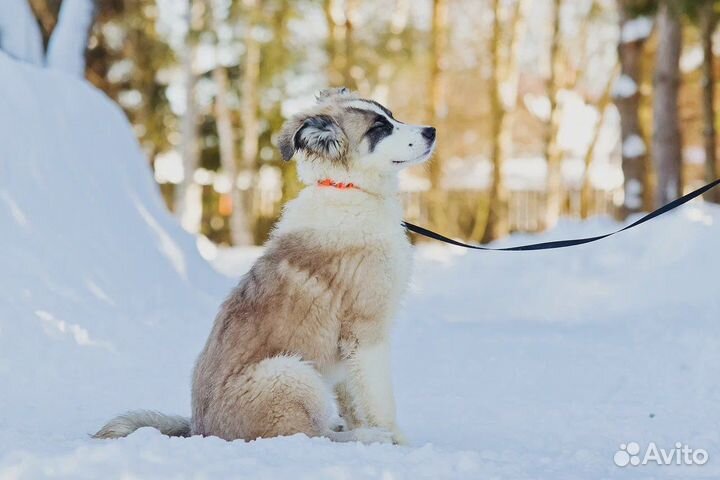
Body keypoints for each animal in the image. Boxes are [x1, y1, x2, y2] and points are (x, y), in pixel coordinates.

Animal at [93, 88, 436, 444]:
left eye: (391, 116)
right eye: (378, 129)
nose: (431, 131)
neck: (348, 189)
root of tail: (200, 431)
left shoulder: (347, 353)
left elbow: (354, 401)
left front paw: (369, 428)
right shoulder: (365, 335)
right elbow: (380, 401)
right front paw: (396, 440)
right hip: (291, 373)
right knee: (310, 436)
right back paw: (366, 437)